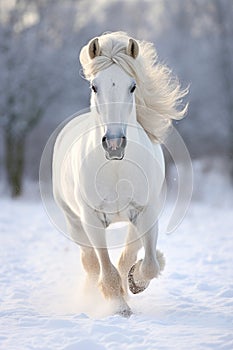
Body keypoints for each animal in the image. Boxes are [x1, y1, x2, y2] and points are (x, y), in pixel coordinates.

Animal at [52, 32, 187, 318]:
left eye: (132, 86)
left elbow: (147, 264)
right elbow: (106, 267)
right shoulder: (92, 219)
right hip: (74, 221)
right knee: (91, 263)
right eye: (94, 86)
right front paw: (118, 305)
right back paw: (90, 296)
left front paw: (135, 283)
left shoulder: (146, 212)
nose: (114, 144)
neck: (115, 168)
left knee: (124, 258)